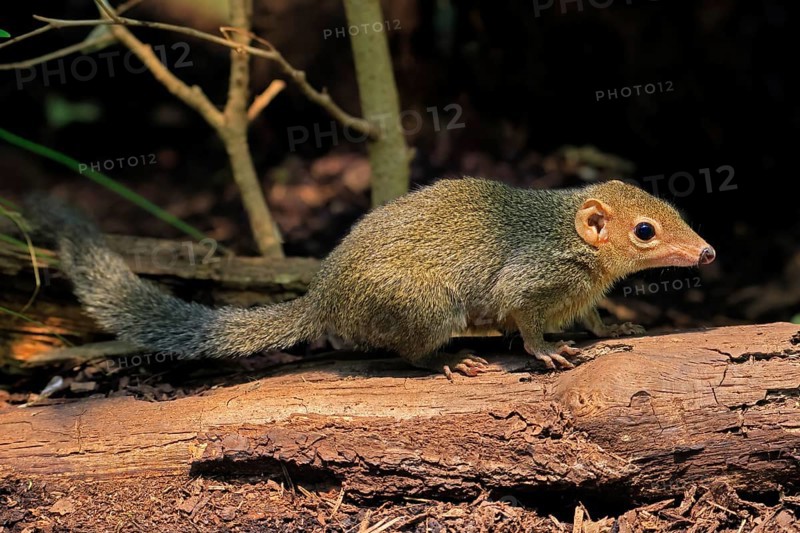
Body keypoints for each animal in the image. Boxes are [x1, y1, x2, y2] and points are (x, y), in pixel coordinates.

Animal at [25, 178, 715, 378]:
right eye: (645, 231)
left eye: (674, 209)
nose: (707, 253)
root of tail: (323, 298)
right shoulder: (531, 279)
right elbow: (523, 322)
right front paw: (546, 352)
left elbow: (592, 316)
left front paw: (618, 326)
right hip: (428, 306)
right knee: (406, 353)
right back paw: (449, 362)